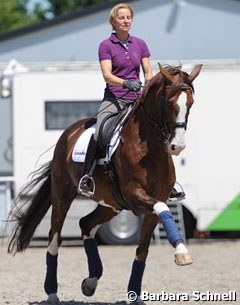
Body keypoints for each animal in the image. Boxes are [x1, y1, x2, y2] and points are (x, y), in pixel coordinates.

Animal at [7, 63, 202, 302]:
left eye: (190, 103)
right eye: (169, 103)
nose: (177, 146)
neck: (150, 150)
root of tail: (69, 133)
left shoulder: (153, 203)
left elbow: (142, 251)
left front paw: (135, 294)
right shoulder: (135, 195)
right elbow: (162, 209)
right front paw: (182, 252)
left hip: (111, 205)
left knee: (85, 224)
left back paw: (91, 281)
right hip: (62, 196)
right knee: (55, 239)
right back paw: (52, 293)